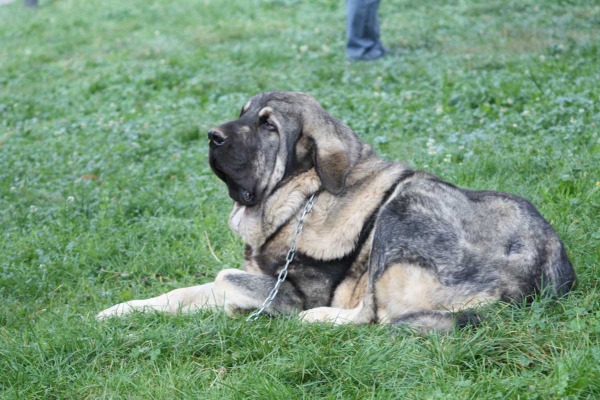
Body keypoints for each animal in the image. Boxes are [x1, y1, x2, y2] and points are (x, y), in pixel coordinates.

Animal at [97, 91, 576, 332]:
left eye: (268, 126)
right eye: (243, 114)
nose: (212, 136)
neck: (303, 194)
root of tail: (543, 271)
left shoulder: (291, 292)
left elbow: (222, 280)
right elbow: (185, 292)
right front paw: (123, 310)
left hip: (405, 205)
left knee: (373, 318)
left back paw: (320, 320)